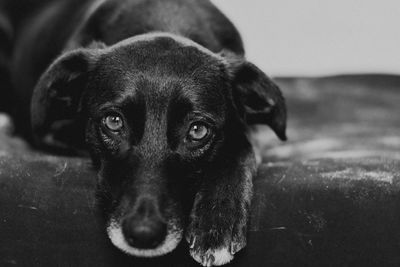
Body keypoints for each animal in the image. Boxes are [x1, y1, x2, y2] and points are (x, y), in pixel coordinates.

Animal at [0, 1, 288, 266]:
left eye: (198, 130)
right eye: (113, 121)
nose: (143, 235)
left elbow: (239, 142)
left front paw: (217, 218)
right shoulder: (46, 132)